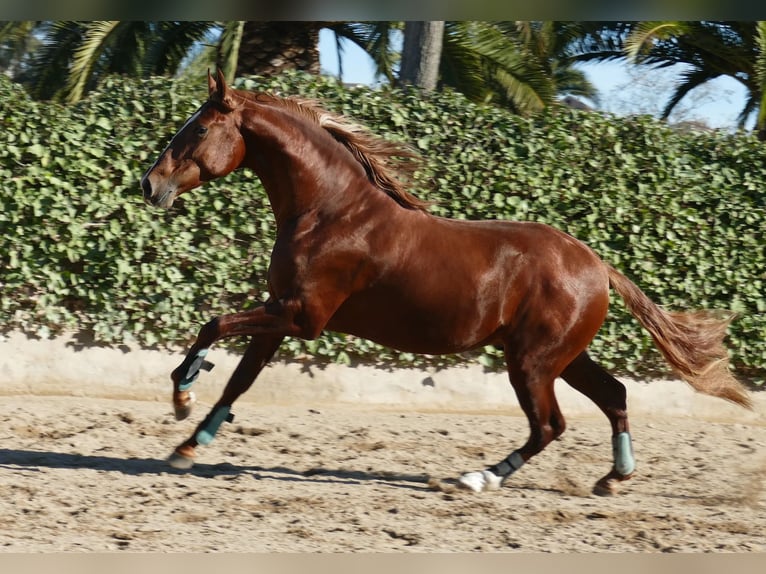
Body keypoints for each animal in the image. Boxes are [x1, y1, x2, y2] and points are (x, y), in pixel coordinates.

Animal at [141, 71, 752, 496]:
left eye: (199, 128)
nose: (149, 185)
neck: (331, 211)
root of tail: (598, 264)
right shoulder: (281, 310)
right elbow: (239, 380)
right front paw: (188, 445)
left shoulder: (302, 316)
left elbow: (214, 323)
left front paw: (182, 394)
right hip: (561, 356)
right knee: (615, 395)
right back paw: (612, 479)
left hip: (532, 364)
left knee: (549, 426)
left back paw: (476, 478)